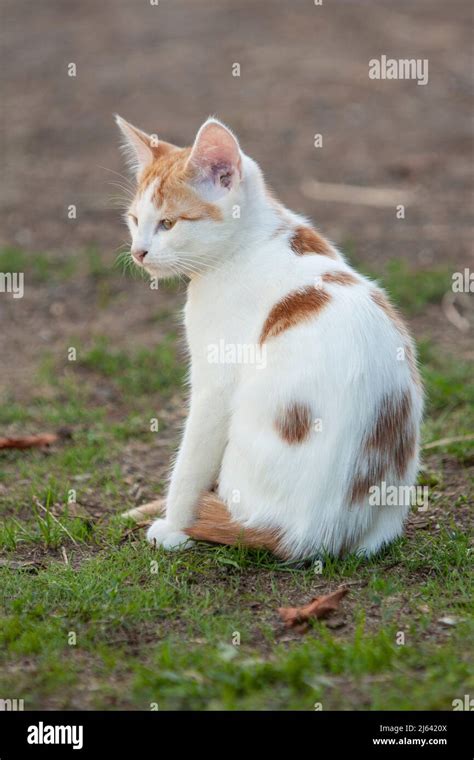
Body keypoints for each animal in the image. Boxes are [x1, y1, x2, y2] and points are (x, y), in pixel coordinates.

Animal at [116, 116, 424, 560]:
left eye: (168, 224)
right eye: (134, 220)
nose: (138, 252)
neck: (249, 242)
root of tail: (310, 535)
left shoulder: (214, 386)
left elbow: (189, 465)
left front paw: (174, 526)